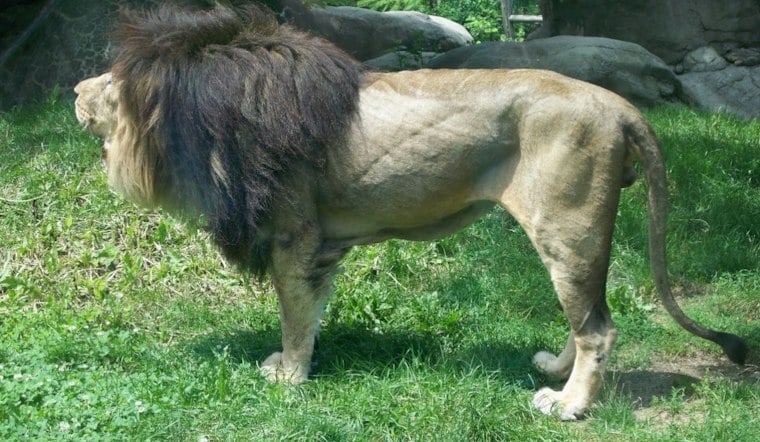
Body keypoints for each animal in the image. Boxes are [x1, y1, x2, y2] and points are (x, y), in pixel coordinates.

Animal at [74, 5, 747, 420]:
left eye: (111, 86)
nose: (77, 91)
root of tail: (618, 104)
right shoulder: (320, 245)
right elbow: (310, 313)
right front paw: (294, 363)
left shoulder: (294, 236)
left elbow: (292, 315)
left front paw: (290, 377)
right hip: (572, 237)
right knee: (587, 316)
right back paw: (555, 369)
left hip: (567, 226)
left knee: (599, 327)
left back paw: (567, 404)